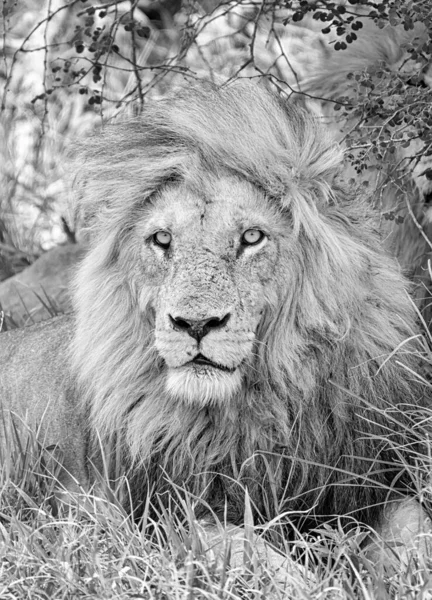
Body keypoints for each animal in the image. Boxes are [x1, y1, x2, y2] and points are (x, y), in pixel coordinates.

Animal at [0, 81, 430, 564]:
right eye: (162, 239)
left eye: (252, 237)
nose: (196, 323)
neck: (258, 407)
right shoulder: (157, 514)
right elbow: (251, 551)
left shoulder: (369, 484)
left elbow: (416, 529)